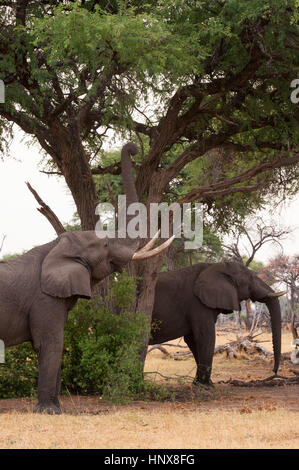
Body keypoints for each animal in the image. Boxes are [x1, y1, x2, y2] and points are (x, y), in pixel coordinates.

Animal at [0, 141, 173, 414]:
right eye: (105, 245)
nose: (133, 148)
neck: (56, 246)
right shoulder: (44, 298)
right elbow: (50, 343)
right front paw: (49, 412)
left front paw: (55, 408)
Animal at [151, 260, 288, 386]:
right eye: (251, 277)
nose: (274, 372)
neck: (215, 266)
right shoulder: (198, 304)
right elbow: (205, 336)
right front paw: (206, 385)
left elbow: (192, 340)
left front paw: (200, 383)